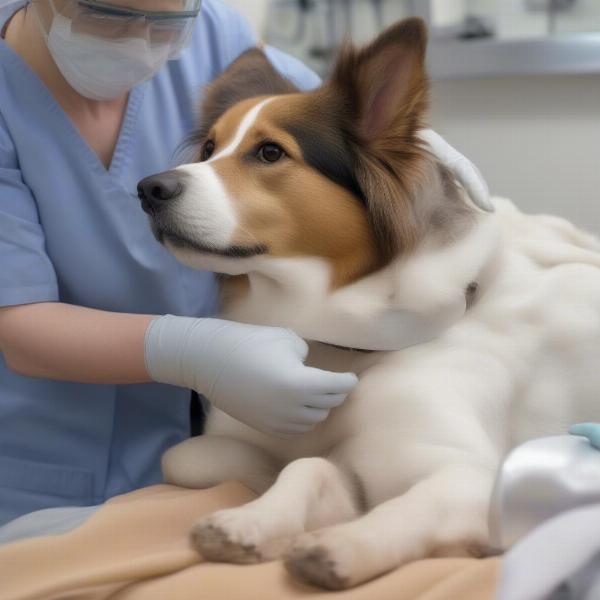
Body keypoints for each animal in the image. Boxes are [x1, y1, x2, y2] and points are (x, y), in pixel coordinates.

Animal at [136, 18, 600, 592]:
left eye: (270, 153)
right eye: (207, 148)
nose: (147, 188)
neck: (352, 351)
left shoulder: (475, 477)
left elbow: (409, 507)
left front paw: (343, 545)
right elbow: (288, 466)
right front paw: (250, 521)